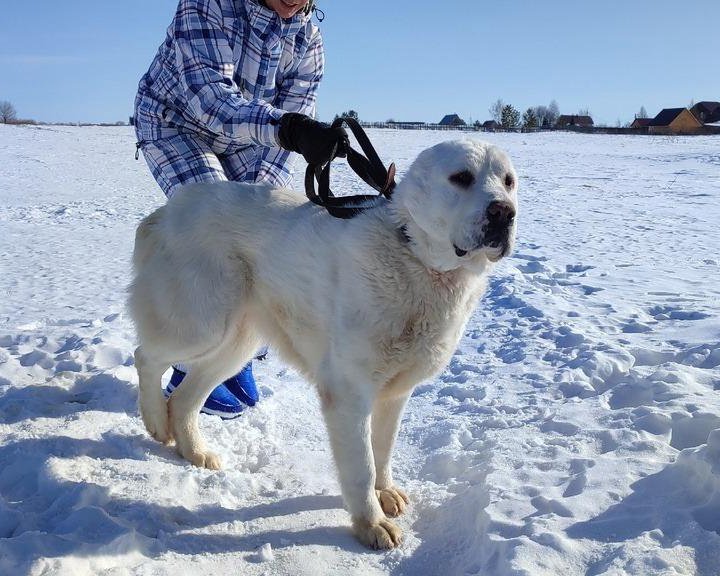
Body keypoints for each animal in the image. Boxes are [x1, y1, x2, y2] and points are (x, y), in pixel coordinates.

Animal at [128, 138, 516, 548]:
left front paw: (385, 491)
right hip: (200, 324)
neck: (415, 256)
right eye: (461, 178)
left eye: (508, 182)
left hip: (235, 344)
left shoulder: (395, 393)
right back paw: (155, 421)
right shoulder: (348, 392)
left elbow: (383, 449)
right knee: (146, 357)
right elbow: (361, 466)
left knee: (184, 399)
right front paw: (370, 523)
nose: (504, 213)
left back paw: (195, 451)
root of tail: (166, 212)